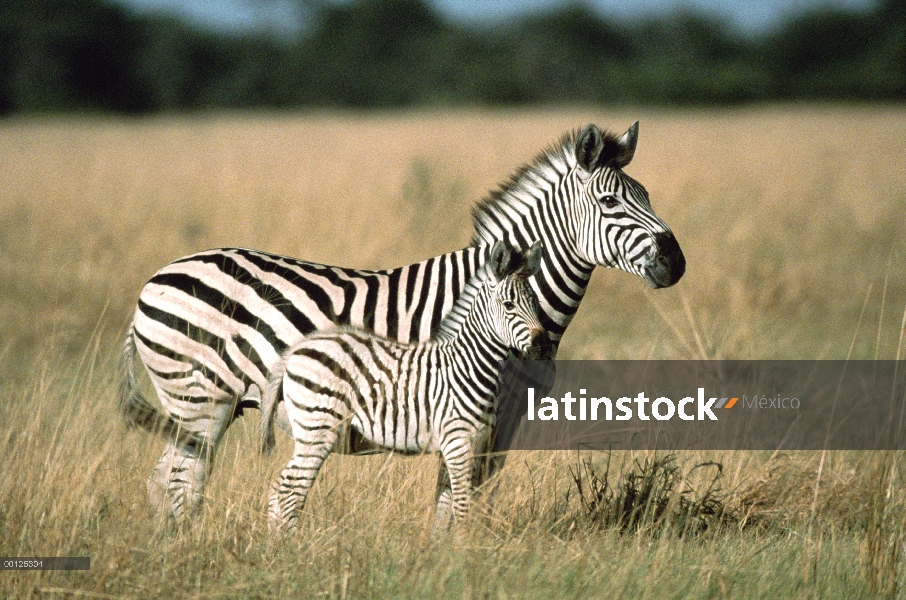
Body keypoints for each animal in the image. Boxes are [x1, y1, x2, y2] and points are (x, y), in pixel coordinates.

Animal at [262, 239, 544, 528]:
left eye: (535, 303)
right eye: (509, 305)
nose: (541, 344)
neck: (468, 365)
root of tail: (297, 350)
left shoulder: (470, 444)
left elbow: (449, 502)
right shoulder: (458, 441)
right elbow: (462, 506)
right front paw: (464, 541)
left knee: (278, 489)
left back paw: (276, 539)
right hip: (317, 428)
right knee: (290, 492)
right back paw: (291, 539)